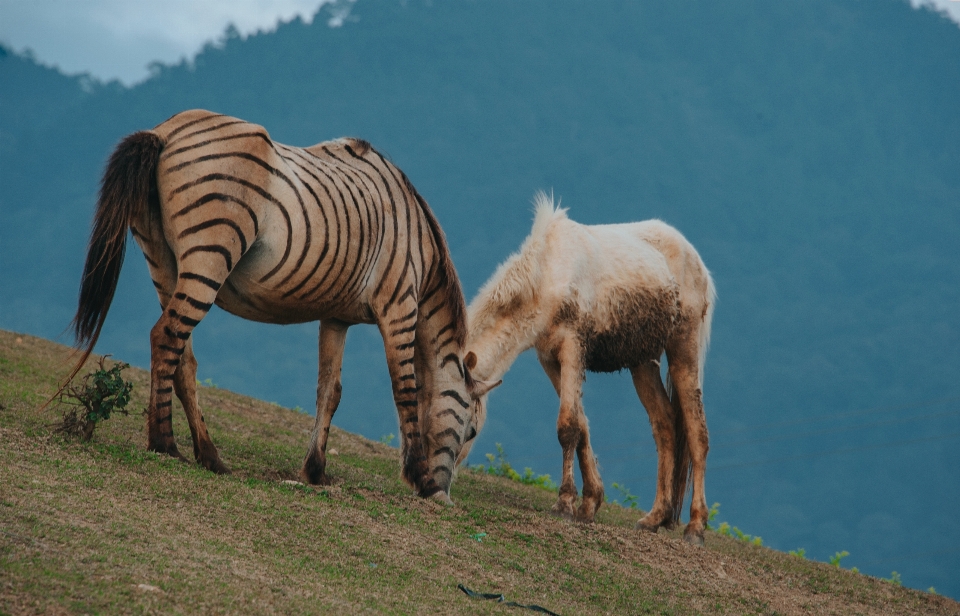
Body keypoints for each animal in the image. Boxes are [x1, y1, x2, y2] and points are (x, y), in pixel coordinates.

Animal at [71, 107, 498, 500]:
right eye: (472, 430)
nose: (443, 495)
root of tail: (166, 131)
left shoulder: (336, 318)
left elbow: (330, 391)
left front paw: (315, 470)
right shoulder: (399, 306)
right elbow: (406, 391)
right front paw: (419, 477)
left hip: (163, 262)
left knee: (183, 359)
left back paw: (209, 455)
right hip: (209, 256)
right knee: (166, 338)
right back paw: (164, 444)